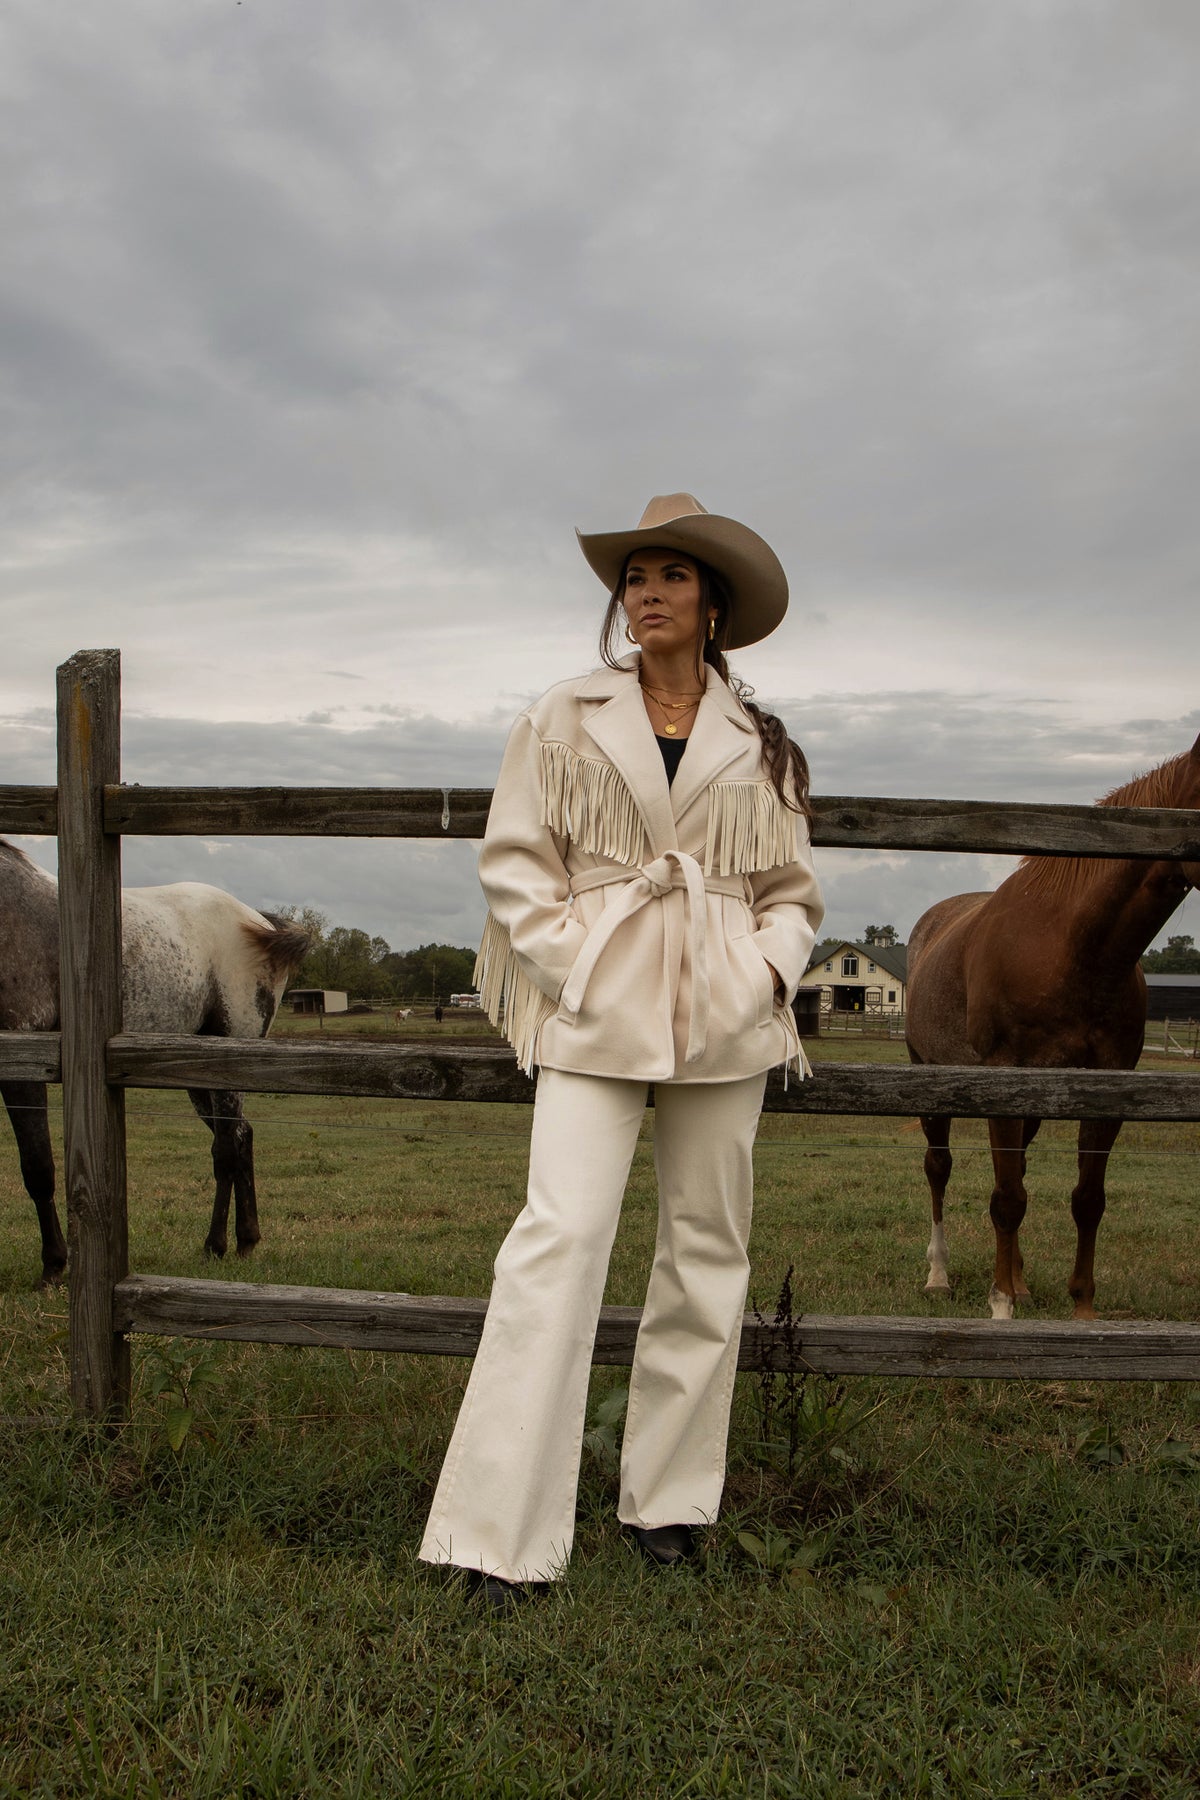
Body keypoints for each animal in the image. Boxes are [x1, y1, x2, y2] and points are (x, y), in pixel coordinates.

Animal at [910, 730, 1200, 1324]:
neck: (1074, 950)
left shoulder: (1106, 1089)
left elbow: (1085, 1199)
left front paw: (1080, 1312)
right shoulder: (1002, 1081)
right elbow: (1005, 1199)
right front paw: (999, 1305)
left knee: (1015, 1172)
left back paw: (1020, 1283)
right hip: (933, 1082)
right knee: (939, 1169)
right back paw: (940, 1276)